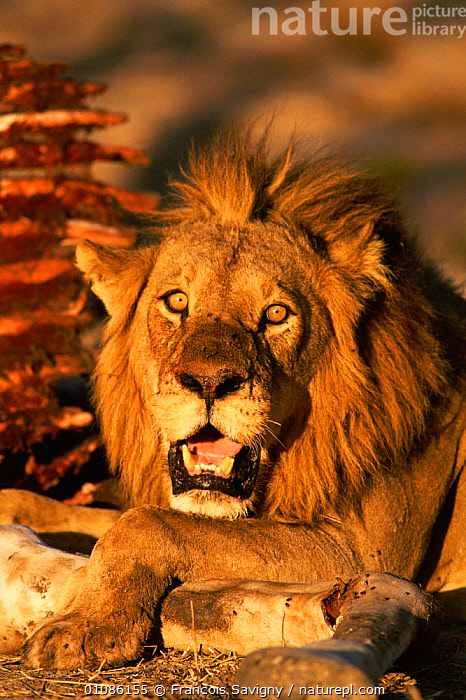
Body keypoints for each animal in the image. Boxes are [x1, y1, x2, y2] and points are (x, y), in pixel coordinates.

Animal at [0, 131, 464, 682]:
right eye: (176, 301)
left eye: (277, 314)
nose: (208, 382)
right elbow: (87, 515)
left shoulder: (363, 549)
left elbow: (142, 524)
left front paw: (85, 628)